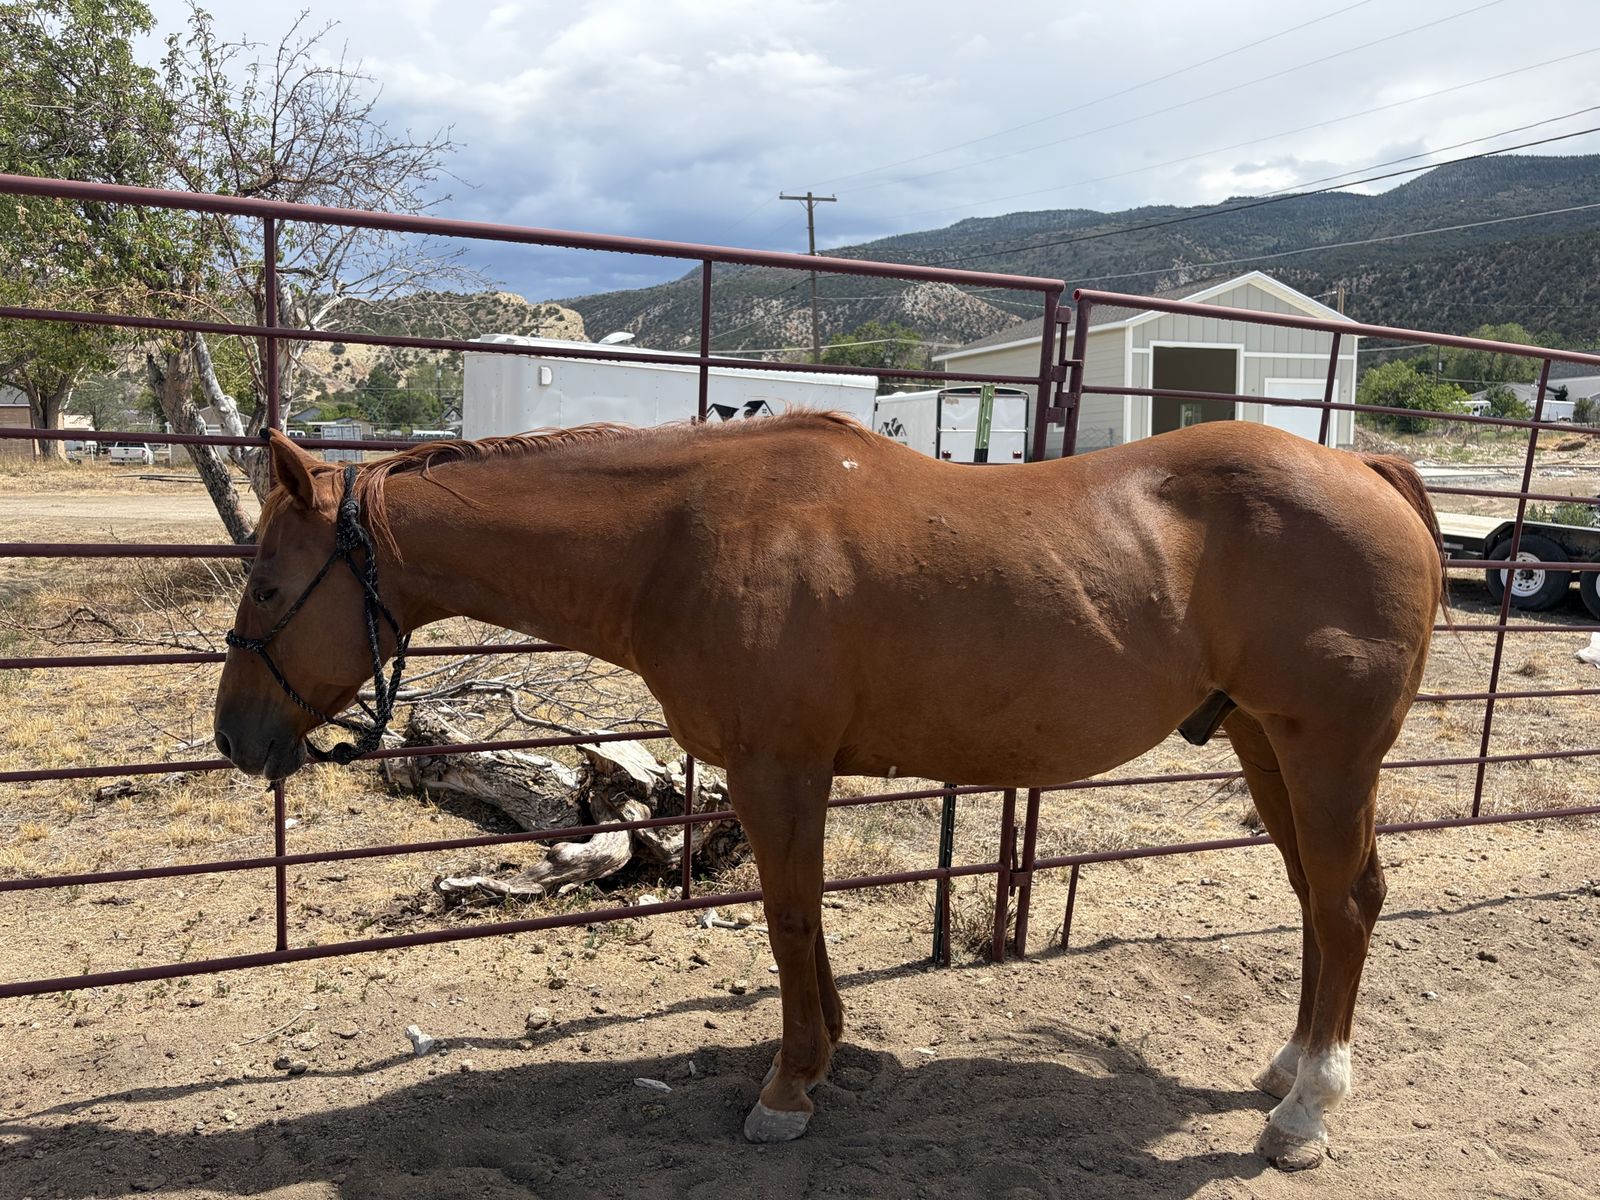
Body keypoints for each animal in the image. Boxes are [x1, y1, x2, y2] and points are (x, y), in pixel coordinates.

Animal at [213, 413, 1444, 1170]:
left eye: (268, 584)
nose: (233, 736)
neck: (678, 540)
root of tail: (1365, 470)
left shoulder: (778, 770)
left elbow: (789, 919)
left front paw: (789, 1088)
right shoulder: (784, 774)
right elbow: (803, 924)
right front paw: (828, 1053)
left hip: (1324, 754)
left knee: (1342, 908)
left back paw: (1303, 1113)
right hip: (1264, 746)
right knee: (1323, 903)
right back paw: (1284, 1073)